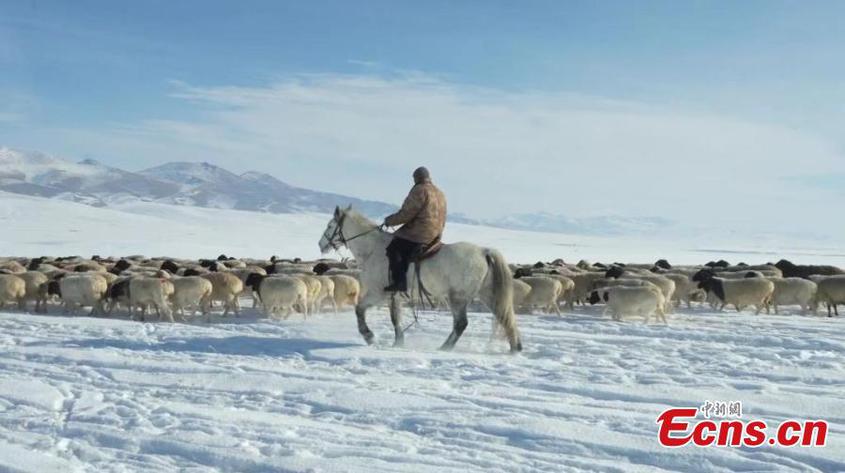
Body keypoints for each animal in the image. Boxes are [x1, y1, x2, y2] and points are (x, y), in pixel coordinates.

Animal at [318, 205, 520, 352]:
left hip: (458, 298)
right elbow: (395, 318)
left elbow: (359, 310)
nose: (321, 244)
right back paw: (515, 348)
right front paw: (398, 342)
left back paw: (445, 347)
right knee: (504, 317)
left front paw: (369, 336)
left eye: (330, 225)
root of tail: (484, 251)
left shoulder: (378, 293)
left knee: (461, 324)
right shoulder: (394, 295)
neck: (373, 249)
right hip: (486, 294)